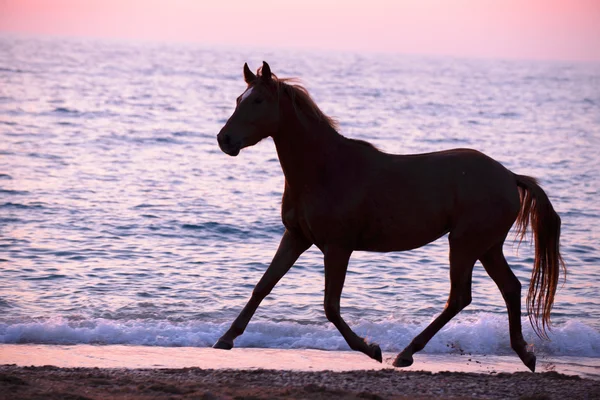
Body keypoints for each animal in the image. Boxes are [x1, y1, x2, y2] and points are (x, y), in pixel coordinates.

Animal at [213, 61, 564, 372]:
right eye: (239, 99)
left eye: (258, 101)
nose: (224, 140)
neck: (325, 169)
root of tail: (509, 176)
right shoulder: (296, 237)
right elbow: (263, 286)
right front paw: (226, 339)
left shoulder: (338, 247)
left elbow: (330, 306)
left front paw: (370, 348)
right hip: (487, 247)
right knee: (510, 288)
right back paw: (525, 354)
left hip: (465, 244)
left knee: (459, 297)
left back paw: (406, 353)